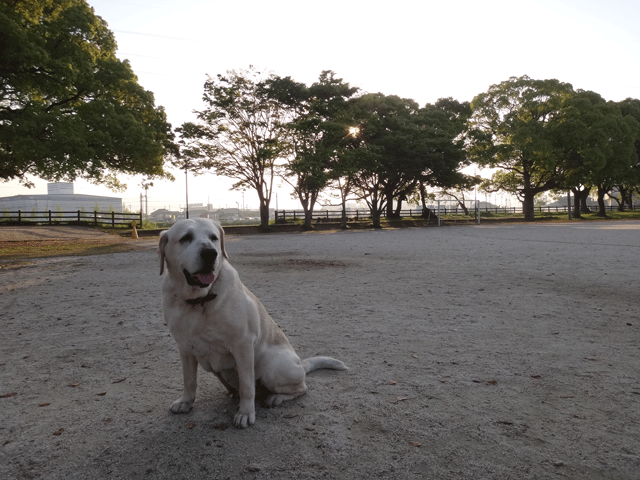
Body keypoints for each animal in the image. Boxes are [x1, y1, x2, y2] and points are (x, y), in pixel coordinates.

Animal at [158, 218, 348, 428]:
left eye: (213, 237)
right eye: (186, 238)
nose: (210, 253)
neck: (199, 302)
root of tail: (300, 364)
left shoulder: (243, 345)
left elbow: (247, 385)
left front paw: (246, 413)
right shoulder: (184, 347)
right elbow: (189, 380)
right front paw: (186, 401)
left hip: (273, 367)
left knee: (301, 388)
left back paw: (276, 397)